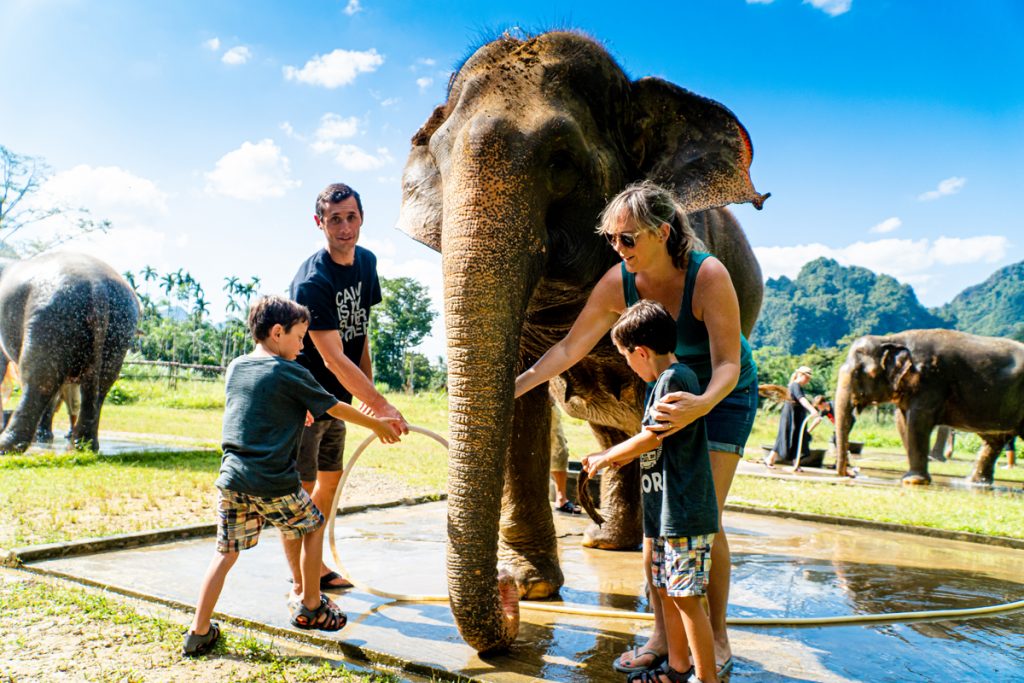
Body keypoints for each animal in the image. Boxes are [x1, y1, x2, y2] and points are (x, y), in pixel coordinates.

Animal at [0, 251, 140, 453]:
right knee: (101, 384)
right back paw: (83, 446)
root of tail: (97, 288)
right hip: (119, 328)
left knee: (39, 379)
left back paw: (8, 446)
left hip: (52, 319)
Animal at [397, 31, 767, 653]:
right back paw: (608, 544)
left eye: (562, 159)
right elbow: (525, 401)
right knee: (611, 429)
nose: (507, 603)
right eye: (441, 164)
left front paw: (525, 586)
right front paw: (533, 586)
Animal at [834, 329, 1024, 485]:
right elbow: (902, 422)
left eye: (859, 372)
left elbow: (918, 421)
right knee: (994, 441)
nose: (851, 473)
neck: (891, 339)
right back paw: (974, 482)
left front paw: (913, 481)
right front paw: (908, 479)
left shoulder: (930, 380)